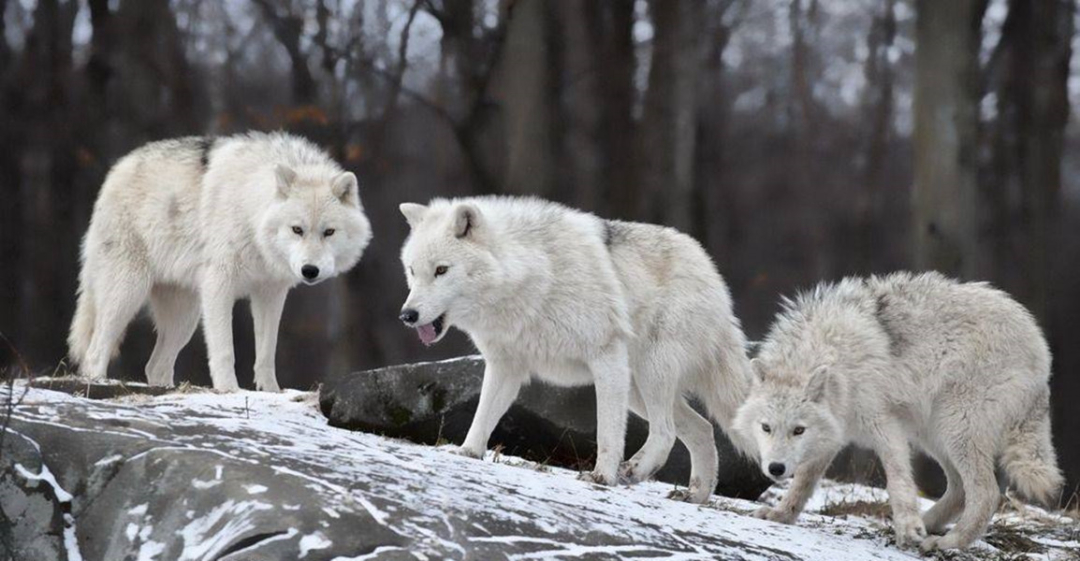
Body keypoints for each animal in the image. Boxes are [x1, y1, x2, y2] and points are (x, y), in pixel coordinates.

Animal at [68, 134, 371, 393]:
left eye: (329, 232)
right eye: (297, 229)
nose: (310, 271)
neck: (251, 210)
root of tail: (116, 169)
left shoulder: (270, 293)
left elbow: (266, 353)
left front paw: (271, 392)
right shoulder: (219, 285)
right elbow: (225, 350)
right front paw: (229, 390)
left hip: (185, 317)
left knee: (155, 366)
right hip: (128, 294)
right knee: (95, 351)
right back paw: (98, 382)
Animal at [730, 271, 1058, 549]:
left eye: (798, 430)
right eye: (766, 428)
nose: (775, 469)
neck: (835, 357)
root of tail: (1041, 348)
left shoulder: (885, 425)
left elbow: (898, 480)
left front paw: (909, 528)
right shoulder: (834, 432)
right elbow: (804, 482)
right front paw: (781, 515)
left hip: (954, 429)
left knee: (987, 494)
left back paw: (949, 542)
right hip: (934, 434)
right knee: (959, 490)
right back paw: (930, 525)